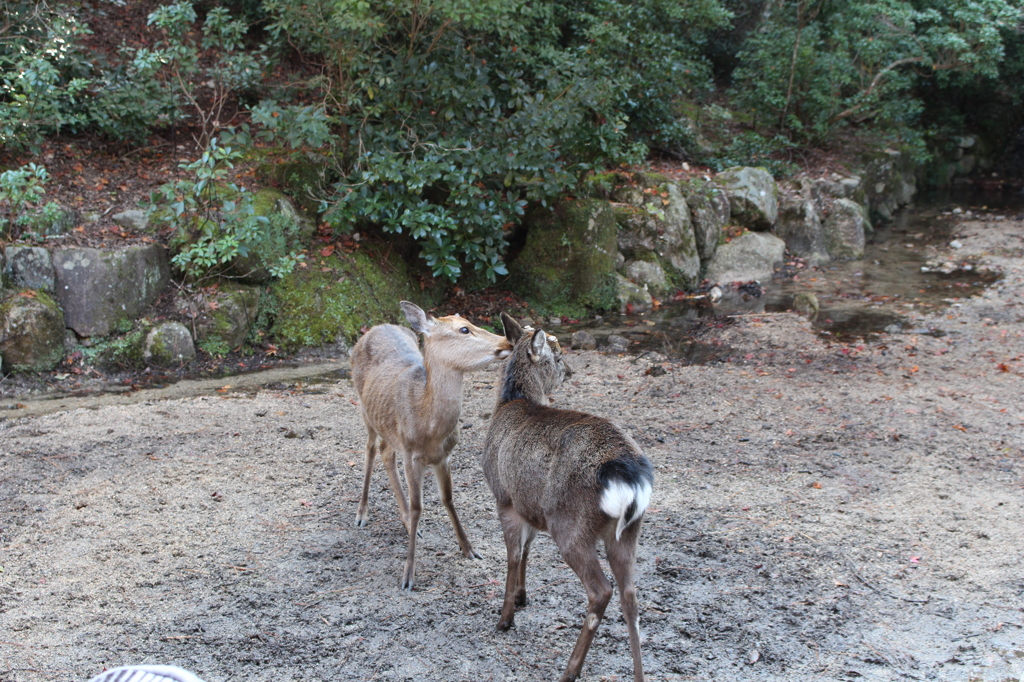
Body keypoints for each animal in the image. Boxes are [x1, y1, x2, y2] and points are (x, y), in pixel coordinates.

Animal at [350, 301, 512, 585]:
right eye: (464, 329)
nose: (507, 342)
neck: (429, 428)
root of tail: (374, 328)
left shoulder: (444, 456)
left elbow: (447, 498)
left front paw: (469, 549)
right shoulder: (412, 455)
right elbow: (418, 507)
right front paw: (408, 574)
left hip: (390, 430)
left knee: (385, 452)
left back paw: (405, 522)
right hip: (364, 409)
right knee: (370, 450)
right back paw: (362, 514)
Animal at [481, 313, 655, 679]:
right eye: (559, 356)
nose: (572, 372)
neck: (511, 401)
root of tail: (630, 477)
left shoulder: (503, 496)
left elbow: (512, 556)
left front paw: (504, 619)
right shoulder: (528, 505)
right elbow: (527, 550)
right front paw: (522, 597)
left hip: (570, 523)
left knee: (601, 590)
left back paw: (570, 671)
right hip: (628, 530)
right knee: (630, 594)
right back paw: (638, 674)